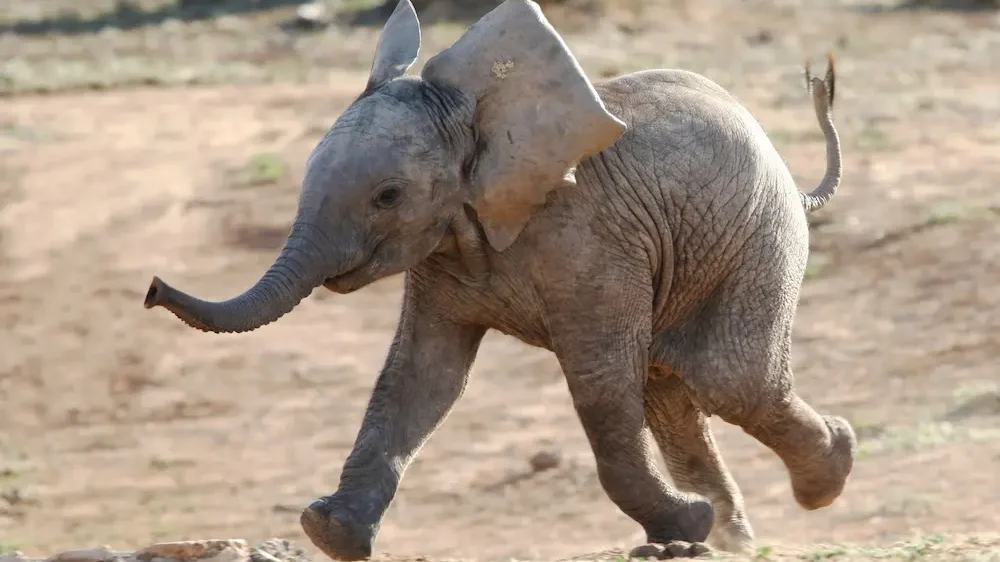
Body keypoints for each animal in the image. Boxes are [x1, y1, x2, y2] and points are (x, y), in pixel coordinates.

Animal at [145, 1, 856, 556]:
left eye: (388, 196)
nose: (151, 290)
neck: (476, 120)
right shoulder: (443, 252)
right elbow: (422, 375)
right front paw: (329, 532)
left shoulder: (590, 243)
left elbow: (599, 382)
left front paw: (687, 525)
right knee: (673, 389)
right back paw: (732, 539)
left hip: (759, 237)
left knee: (727, 378)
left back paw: (826, 474)